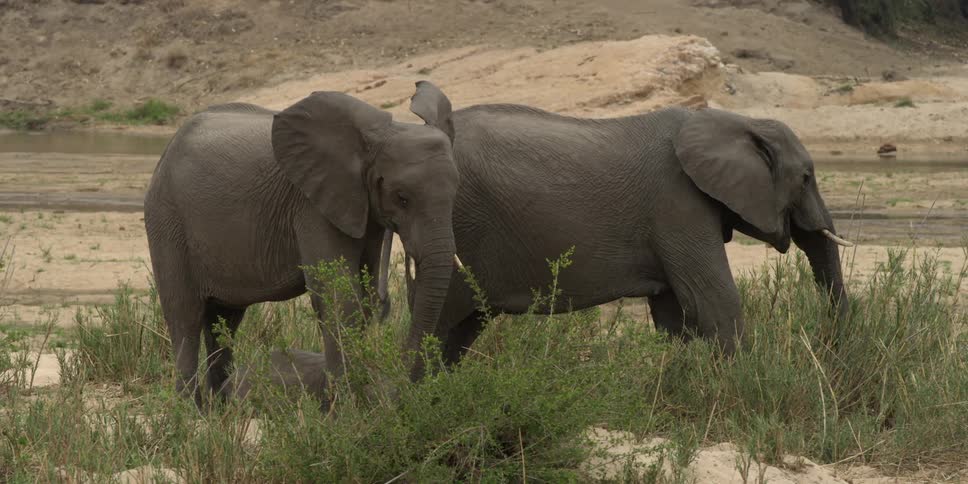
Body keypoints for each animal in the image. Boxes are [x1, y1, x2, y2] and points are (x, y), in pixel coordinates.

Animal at [144, 85, 461, 405]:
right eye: (402, 198)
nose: (403, 390)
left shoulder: (364, 209)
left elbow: (364, 297)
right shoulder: (312, 205)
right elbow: (339, 296)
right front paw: (345, 405)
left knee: (224, 322)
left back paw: (222, 408)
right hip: (167, 220)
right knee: (185, 316)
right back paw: (190, 411)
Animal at [398, 82, 851, 375]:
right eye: (807, 177)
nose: (831, 351)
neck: (737, 121)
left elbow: (674, 314)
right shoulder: (678, 203)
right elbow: (711, 300)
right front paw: (740, 388)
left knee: (460, 328)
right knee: (441, 321)